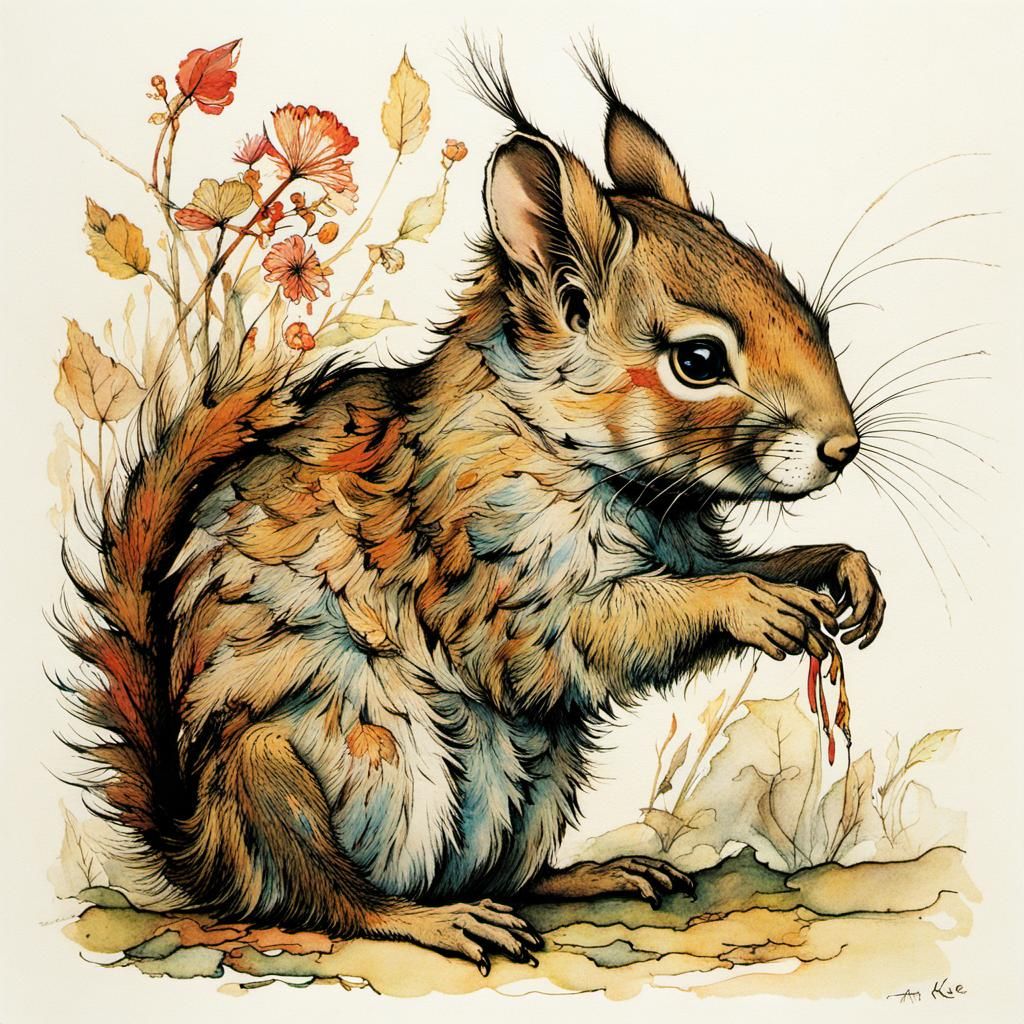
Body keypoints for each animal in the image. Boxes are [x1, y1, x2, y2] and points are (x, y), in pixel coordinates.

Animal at [59, 43, 885, 971]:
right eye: (700, 361)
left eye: (812, 314)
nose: (843, 446)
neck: (592, 463)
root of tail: (198, 849)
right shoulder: (489, 577)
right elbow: (590, 631)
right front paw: (753, 605)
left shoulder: (685, 548)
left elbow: (734, 568)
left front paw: (840, 569)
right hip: (290, 766)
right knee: (327, 898)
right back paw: (434, 920)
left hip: (542, 779)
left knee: (511, 875)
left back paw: (591, 875)